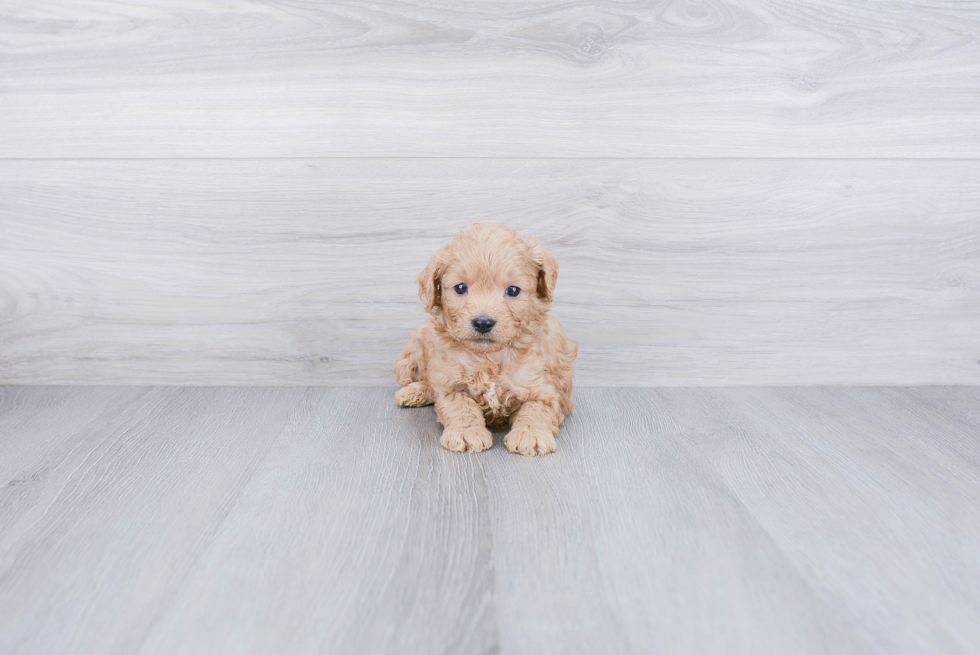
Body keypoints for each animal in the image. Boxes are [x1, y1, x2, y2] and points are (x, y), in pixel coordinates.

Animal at [394, 224, 580, 456]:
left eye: (513, 290)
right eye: (461, 288)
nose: (483, 323)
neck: (490, 357)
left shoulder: (545, 389)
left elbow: (536, 409)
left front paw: (531, 435)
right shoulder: (451, 383)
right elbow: (459, 404)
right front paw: (466, 432)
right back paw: (413, 391)